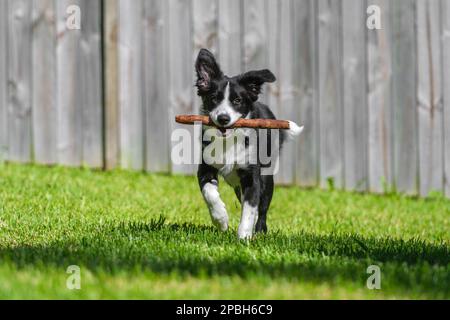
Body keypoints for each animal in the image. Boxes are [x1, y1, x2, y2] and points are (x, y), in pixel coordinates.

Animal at [194, 48, 302, 239]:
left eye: (237, 101)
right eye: (213, 98)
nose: (223, 118)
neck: (228, 141)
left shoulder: (252, 176)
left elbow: (250, 208)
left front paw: (244, 237)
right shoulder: (205, 168)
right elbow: (209, 193)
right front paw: (221, 220)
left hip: (267, 177)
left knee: (262, 208)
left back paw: (259, 231)